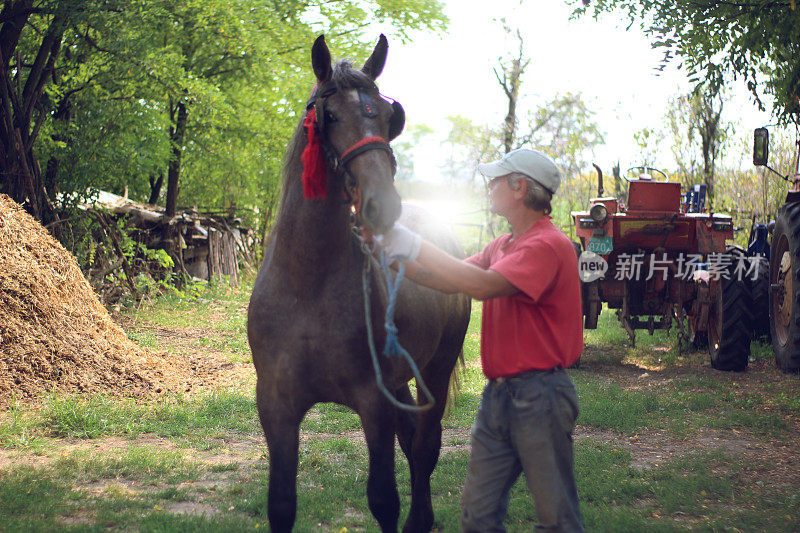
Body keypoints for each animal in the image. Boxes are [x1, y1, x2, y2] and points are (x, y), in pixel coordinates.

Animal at [247, 35, 472, 528]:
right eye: (328, 115)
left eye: (388, 116)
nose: (382, 206)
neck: (307, 286)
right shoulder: (276, 407)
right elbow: (281, 505)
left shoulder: (374, 403)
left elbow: (383, 498)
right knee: (413, 439)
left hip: (435, 369)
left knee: (425, 447)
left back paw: (421, 519)